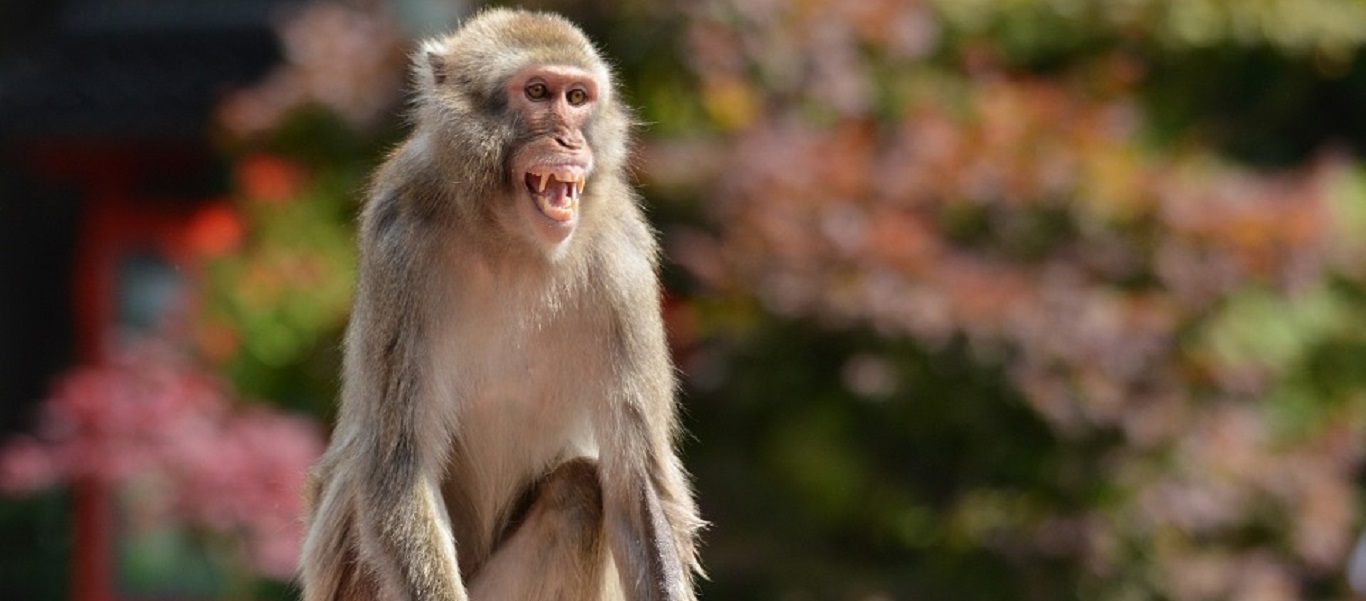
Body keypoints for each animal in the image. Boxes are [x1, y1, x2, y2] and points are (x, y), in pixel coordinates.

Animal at [300, 8, 704, 601]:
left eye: (577, 97)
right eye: (537, 92)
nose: (568, 138)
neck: (510, 243)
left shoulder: (623, 258)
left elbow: (637, 484)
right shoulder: (399, 243)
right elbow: (399, 464)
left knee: (579, 492)